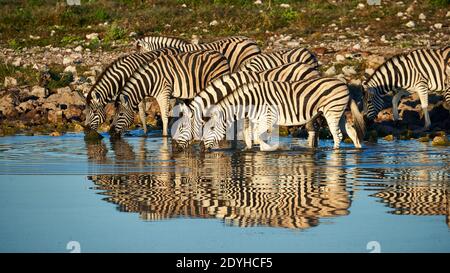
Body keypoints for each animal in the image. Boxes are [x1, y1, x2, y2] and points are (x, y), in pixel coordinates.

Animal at [200, 78, 366, 151]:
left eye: (212, 128)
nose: (203, 149)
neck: (251, 101)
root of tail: (344, 84)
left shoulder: (268, 118)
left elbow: (257, 137)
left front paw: (272, 148)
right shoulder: (258, 120)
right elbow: (253, 136)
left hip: (332, 111)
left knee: (337, 136)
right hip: (339, 112)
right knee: (351, 131)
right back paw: (358, 149)